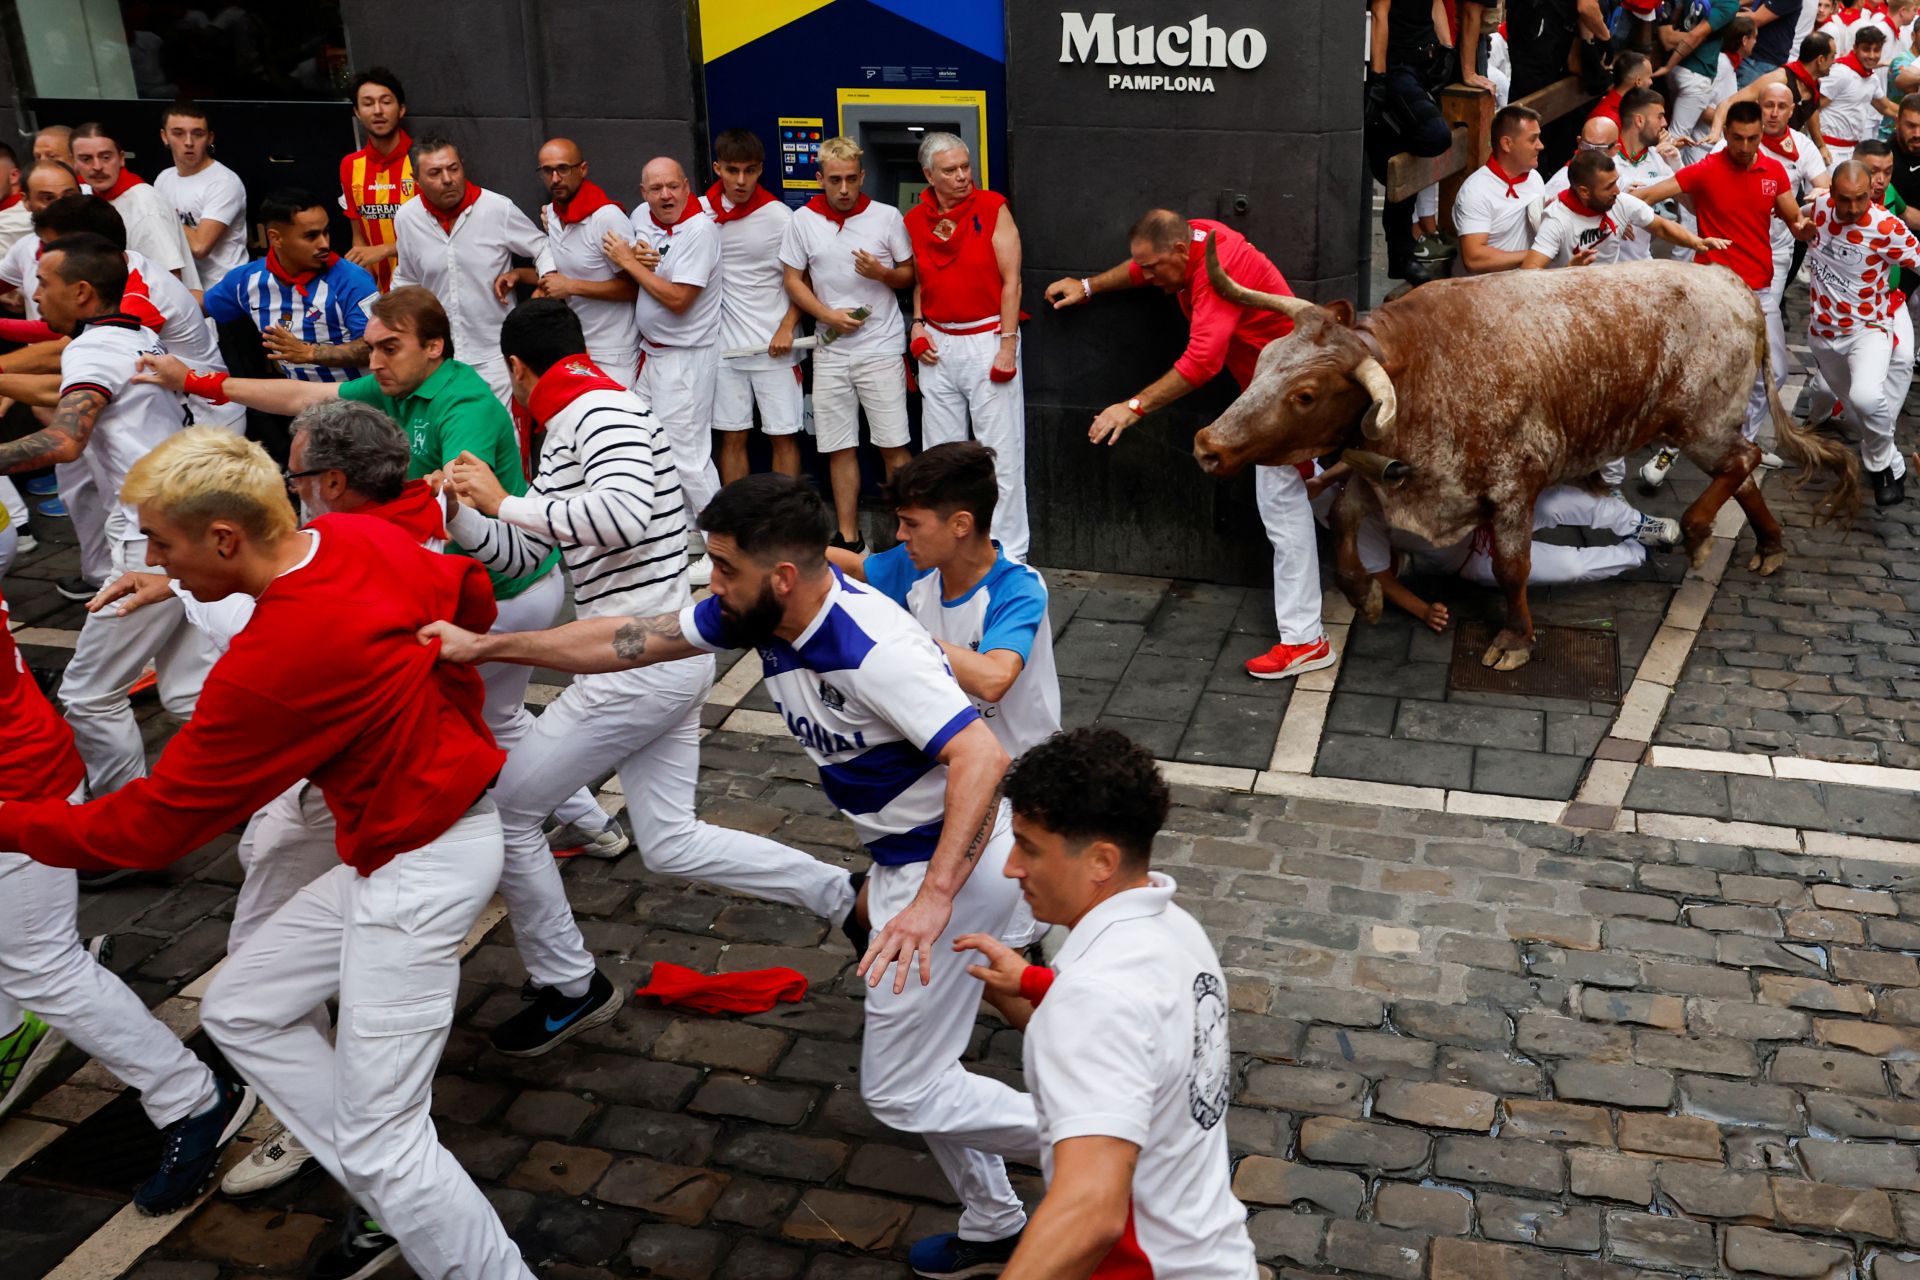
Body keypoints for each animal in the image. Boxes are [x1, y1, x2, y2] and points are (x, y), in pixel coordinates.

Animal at [1182, 247, 1858, 675]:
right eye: (1264, 359)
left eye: (1305, 395)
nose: (1207, 444)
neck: (1419, 371)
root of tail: (1731, 284)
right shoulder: (1388, 480)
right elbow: (1347, 526)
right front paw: (1366, 595)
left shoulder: (1511, 490)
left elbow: (1513, 567)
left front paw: (1515, 638)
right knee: (1740, 472)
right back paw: (1768, 545)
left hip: (1702, 424)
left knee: (1742, 459)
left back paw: (1696, 533)